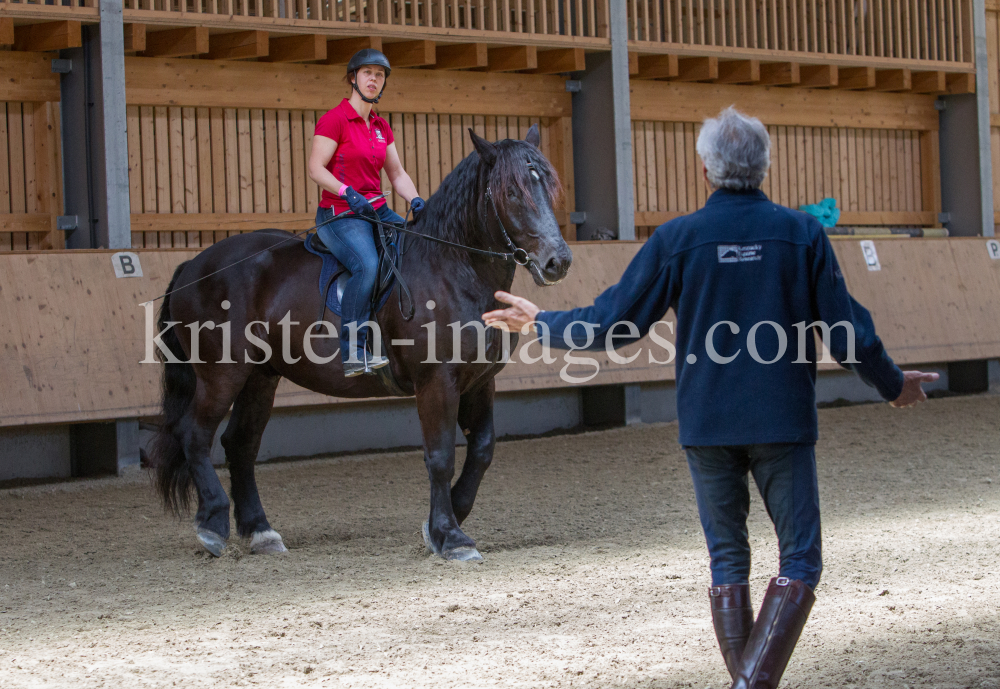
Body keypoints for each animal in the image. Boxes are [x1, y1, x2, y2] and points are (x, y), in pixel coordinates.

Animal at [146, 127, 572, 560]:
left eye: (547, 186)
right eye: (512, 192)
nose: (559, 261)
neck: (452, 267)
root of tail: (194, 266)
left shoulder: (480, 381)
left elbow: (482, 451)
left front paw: (441, 524)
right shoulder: (437, 382)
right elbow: (439, 457)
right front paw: (450, 536)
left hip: (260, 378)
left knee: (240, 444)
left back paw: (261, 532)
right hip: (222, 374)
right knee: (194, 435)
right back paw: (212, 526)